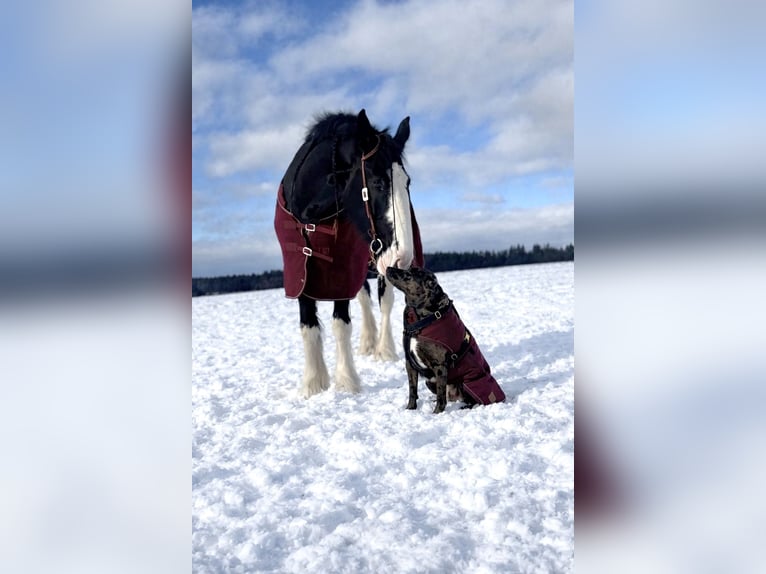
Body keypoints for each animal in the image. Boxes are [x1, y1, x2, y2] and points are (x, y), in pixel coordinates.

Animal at [274, 109, 424, 398]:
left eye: (407, 182)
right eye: (378, 182)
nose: (403, 258)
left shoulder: (343, 266)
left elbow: (341, 323)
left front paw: (345, 380)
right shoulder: (299, 268)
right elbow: (308, 325)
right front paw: (313, 382)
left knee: (385, 302)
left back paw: (383, 348)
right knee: (364, 296)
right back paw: (367, 341)